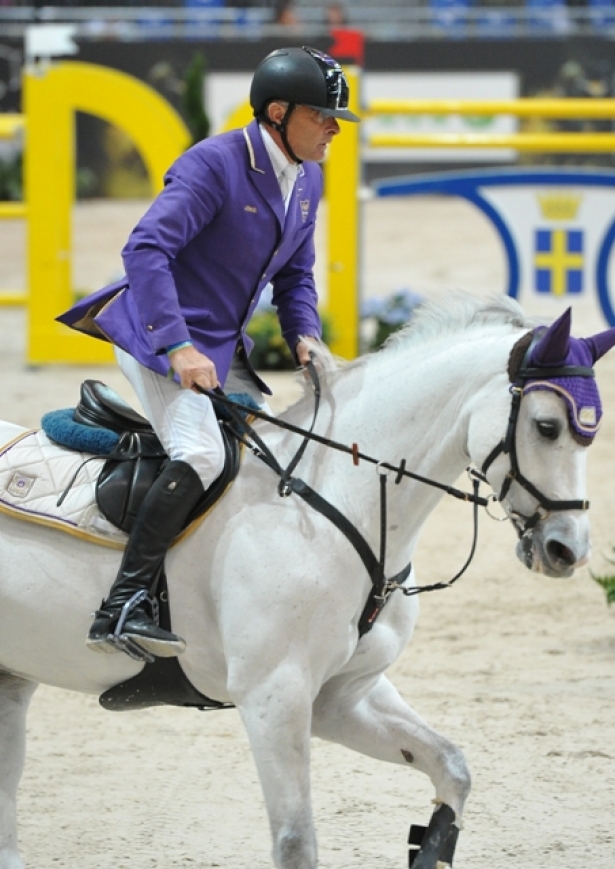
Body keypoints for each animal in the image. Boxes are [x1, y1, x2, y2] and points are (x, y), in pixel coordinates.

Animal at [1, 294, 615, 868]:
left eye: (589, 435)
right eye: (546, 427)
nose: (567, 550)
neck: (338, 501)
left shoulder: (343, 696)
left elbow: (451, 767)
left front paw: (431, 844)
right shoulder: (274, 696)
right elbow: (296, 843)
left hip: (13, 677)